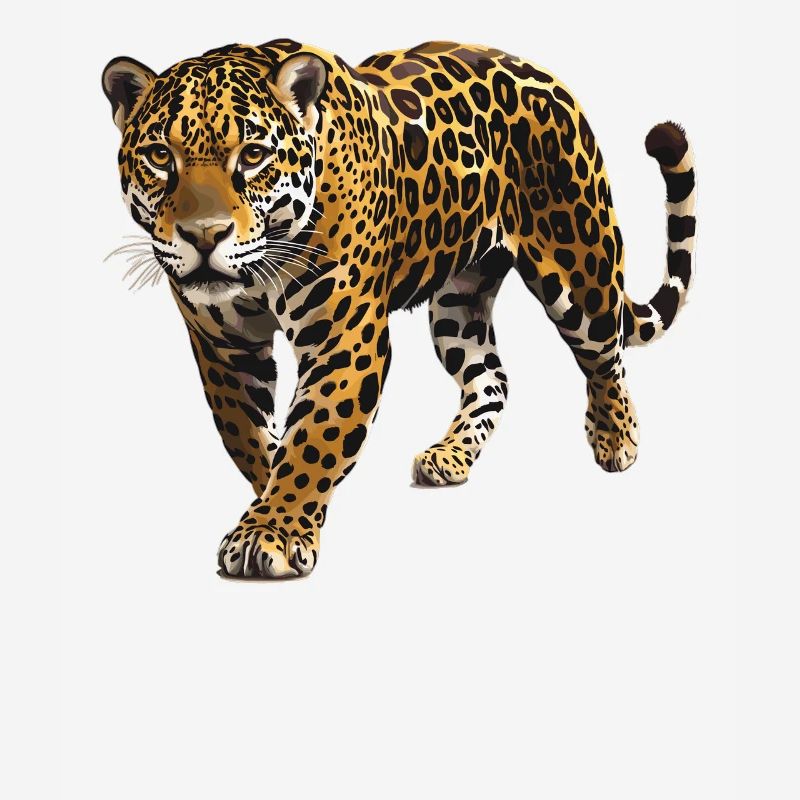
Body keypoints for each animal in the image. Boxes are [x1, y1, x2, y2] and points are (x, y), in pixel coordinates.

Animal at [102, 39, 696, 578]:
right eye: (161, 157)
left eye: (252, 156)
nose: (204, 235)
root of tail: (545, 75)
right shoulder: (225, 348)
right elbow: (248, 435)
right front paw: (270, 507)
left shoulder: (343, 338)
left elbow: (312, 436)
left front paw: (274, 531)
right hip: (458, 301)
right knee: (491, 376)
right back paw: (449, 457)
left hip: (578, 265)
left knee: (605, 354)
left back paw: (616, 439)